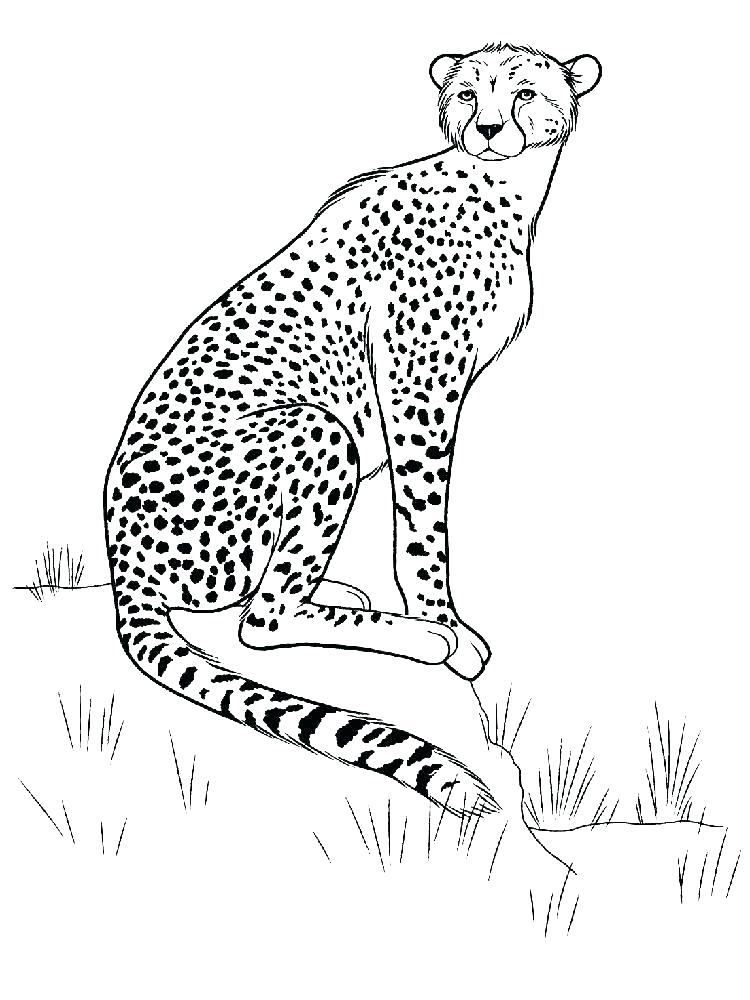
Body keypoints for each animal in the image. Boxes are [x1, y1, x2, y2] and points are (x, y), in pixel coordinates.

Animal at [104, 42, 602, 817]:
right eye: (467, 94)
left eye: (524, 92)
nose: (489, 128)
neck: (501, 188)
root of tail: (119, 550)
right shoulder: (417, 385)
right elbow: (424, 524)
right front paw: (444, 622)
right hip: (322, 428)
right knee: (263, 620)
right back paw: (418, 638)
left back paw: (340, 591)